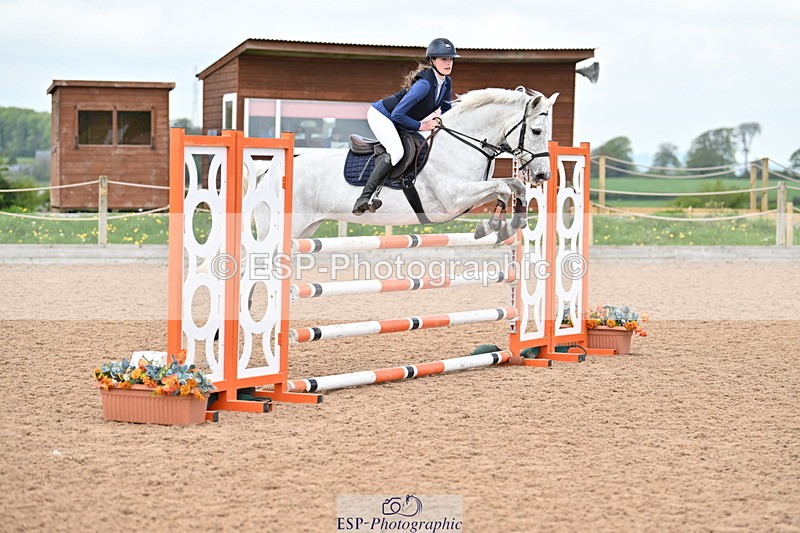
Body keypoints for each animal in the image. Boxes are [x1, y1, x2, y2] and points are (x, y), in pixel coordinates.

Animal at [253, 87, 558, 240]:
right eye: (536, 131)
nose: (543, 175)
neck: (462, 141)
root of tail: (270, 173)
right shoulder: (454, 198)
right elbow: (504, 189)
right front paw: (492, 226)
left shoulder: (473, 191)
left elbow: (515, 185)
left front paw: (514, 223)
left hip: (305, 230)